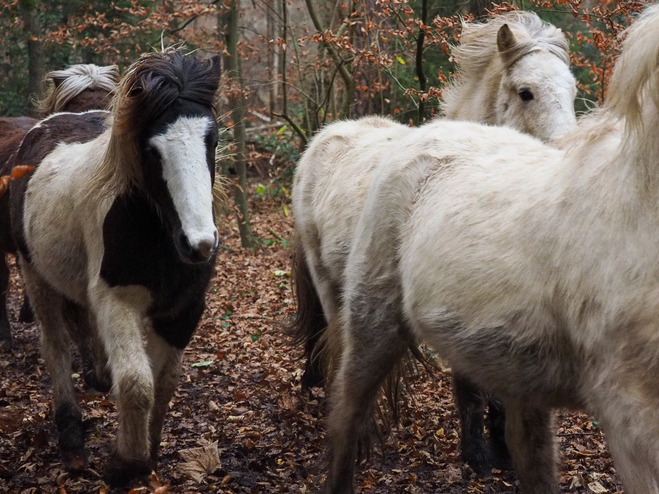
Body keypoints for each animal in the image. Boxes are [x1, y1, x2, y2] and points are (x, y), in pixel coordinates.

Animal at [292, 9, 576, 474]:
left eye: (573, 91)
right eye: (526, 92)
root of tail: (325, 138)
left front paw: (503, 449)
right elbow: (469, 384)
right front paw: (477, 455)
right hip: (328, 280)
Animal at [328, 6, 659, 494]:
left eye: (574, 91)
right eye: (525, 92)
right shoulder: (629, 420)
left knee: (528, 449)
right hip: (374, 324)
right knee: (346, 415)